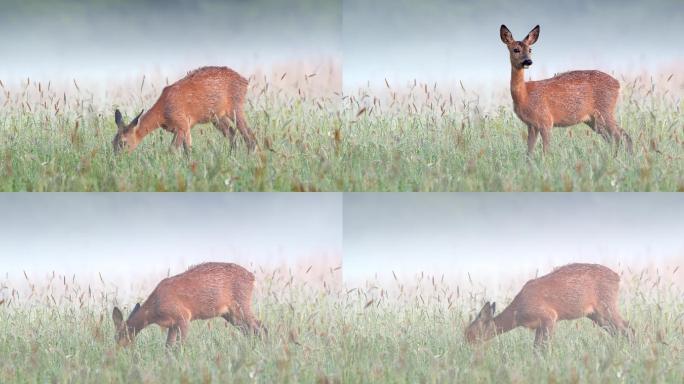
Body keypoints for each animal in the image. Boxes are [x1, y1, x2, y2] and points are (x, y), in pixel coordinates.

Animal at [111, 260, 264, 348]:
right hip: (230, 314)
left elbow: (180, 346)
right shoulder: (172, 325)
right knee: (250, 331)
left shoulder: (183, 316)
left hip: (241, 305)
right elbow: (168, 348)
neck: (154, 310)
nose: (118, 351)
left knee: (260, 327)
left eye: (119, 336)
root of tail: (252, 277)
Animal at [113, 67, 256, 152]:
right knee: (232, 132)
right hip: (217, 117)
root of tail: (245, 81)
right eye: (112, 142)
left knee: (249, 135)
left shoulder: (182, 123)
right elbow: (188, 150)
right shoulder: (181, 128)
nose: (117, 159)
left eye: (123, 143)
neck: (163, 113)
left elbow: (173, 150)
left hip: (235, 107)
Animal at [464, 264, 632, 348]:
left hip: (606, 306)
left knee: (628, 329)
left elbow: (544, 348)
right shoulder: (539, 325)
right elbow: (536, 349)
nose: (465, 345)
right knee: (619, 331)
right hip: (596, 314)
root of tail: (617, 278)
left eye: (471, 332)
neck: (517, 313)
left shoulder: (549, 316)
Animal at [500, 24, 632, 154]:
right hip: (593, 120)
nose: (528, 61)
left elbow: (546, 151)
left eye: (530, 50)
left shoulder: (546, 120)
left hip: (605, 110)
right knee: (614, 138)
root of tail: (617, 83)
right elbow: (529, 152)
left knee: (621, 136)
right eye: (515, 49)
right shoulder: (531, 125)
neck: (524, 95)